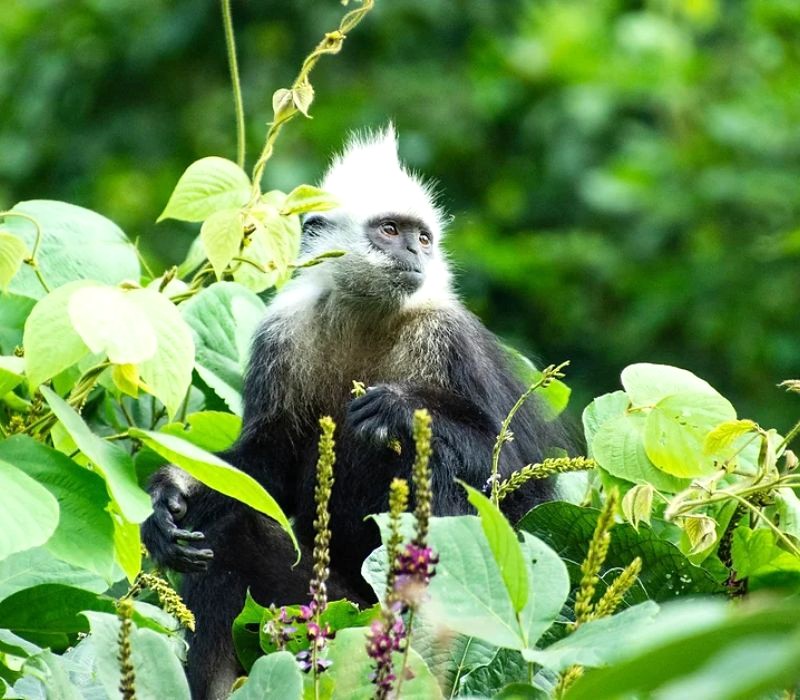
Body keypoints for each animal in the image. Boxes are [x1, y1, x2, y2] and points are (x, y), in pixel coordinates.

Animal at [141, 123, 572, 696]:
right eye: (390, 230)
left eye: (422, 238)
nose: (415, 252)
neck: (370, 316)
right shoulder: (283, 336)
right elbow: (266, 467)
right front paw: (170, 499)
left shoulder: (452, 341)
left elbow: (520, 477)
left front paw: (399, 407)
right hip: (323, 603)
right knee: (227, 537)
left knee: (435, 467)